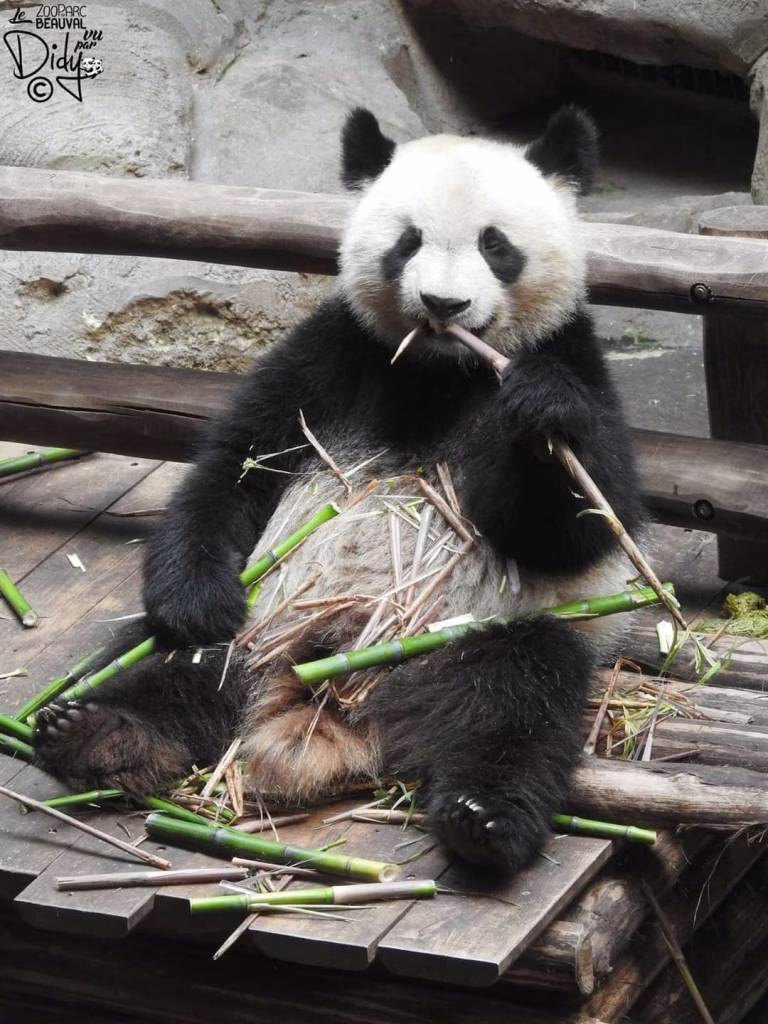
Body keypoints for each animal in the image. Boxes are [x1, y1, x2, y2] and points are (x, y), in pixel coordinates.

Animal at [35, 106, 644, 871]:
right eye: (407, 242)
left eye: (495, 244)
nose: (444, 304)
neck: (441, 370)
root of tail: (339, 702)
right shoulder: (335, 354)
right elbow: (235, 467)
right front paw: (196, 602)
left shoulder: (571, 356)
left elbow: (583, 524)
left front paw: (541, 415)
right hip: (268, 620)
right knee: (174, 662)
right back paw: (102, 733)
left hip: (474, 638)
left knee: (520, 695)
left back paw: (484, 817)